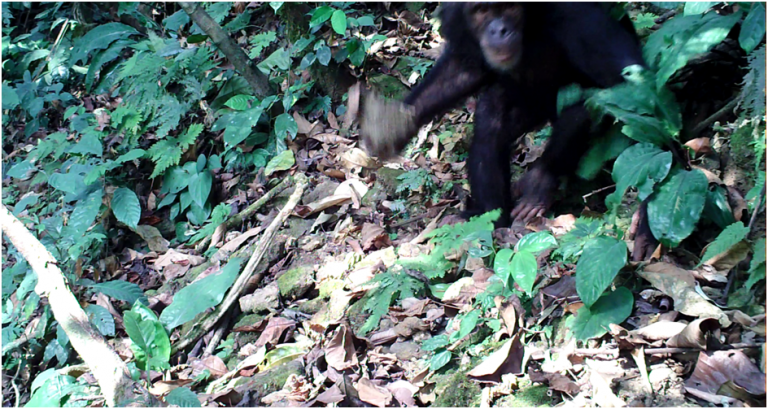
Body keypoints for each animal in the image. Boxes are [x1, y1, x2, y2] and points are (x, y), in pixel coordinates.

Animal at [356, 0, 652, 255]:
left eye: (509, 6)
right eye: (482, 10)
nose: (499, 30)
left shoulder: (576, 17)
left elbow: (629, 85)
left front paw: (647, 220)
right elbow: (462, 70)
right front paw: (392, 125)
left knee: (587, 103)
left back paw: (541, 182)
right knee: (491, 118)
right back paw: (491, 218)